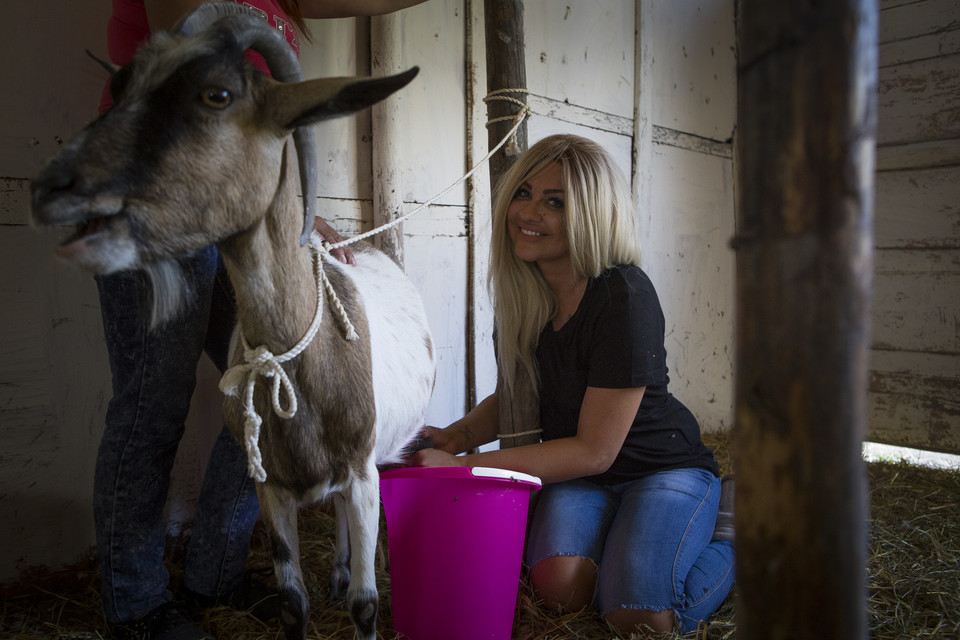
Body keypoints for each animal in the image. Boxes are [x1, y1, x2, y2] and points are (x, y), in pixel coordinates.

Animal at [30, 6, 436, 640]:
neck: (298, 356)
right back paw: (338, 571)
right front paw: (315, 590)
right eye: (120, 87)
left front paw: (367, 593)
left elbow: (366, 605)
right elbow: (292, 599)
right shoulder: (271, 488)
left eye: (217, 93)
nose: (52, 188)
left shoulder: (363, 469)